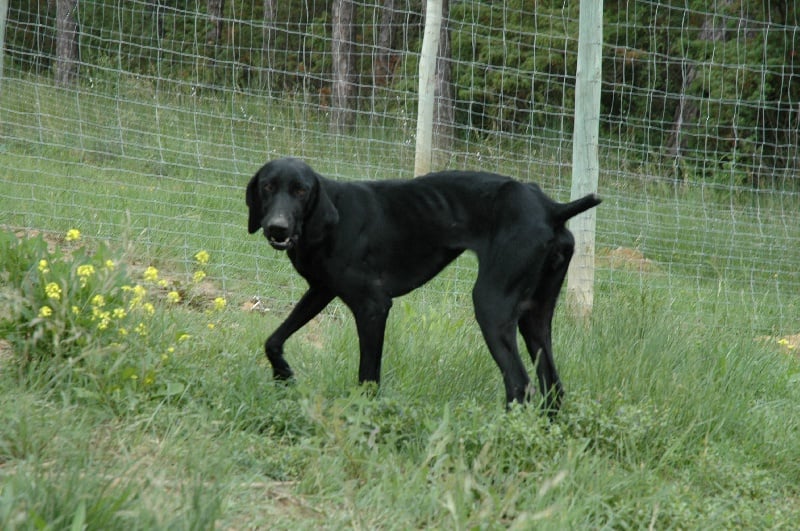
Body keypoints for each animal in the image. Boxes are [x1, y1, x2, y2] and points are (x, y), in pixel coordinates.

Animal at [247, 157, 600, 414]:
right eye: (267, 186)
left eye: (301, 190)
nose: (277, 228)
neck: (330, 217)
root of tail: (551, 208)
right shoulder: (321, 290)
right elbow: (272, 341)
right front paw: (283, 376)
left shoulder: (373, 306)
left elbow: (368, 376)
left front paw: (364, 415)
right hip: (534, 318)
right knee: (552, 386)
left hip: (491, 305)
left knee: (518, 384)